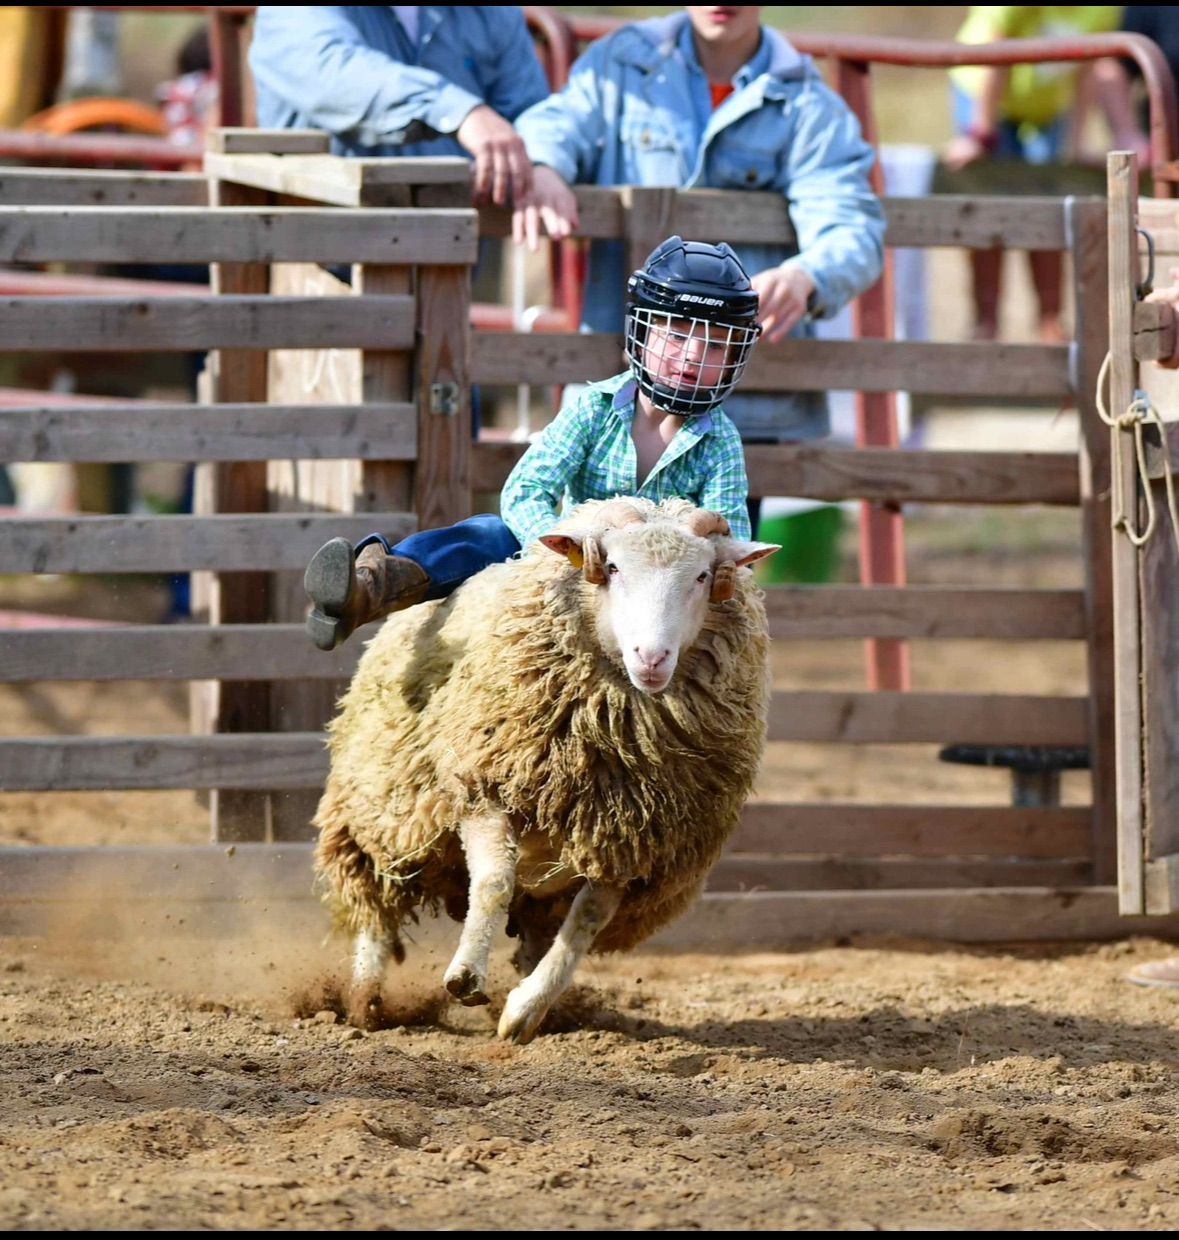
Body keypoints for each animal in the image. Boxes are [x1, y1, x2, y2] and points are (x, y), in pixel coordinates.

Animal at [308, 498, 778, 1041]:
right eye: (611, 567)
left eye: (703, 575)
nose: (652, 658)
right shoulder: (483, 787)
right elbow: (493, 882)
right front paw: (465, 975)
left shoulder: (628, 838)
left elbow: (585, 923)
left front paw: (524, 1011)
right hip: (376, 815)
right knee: (377, 907)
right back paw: (365, 1002)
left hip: (540, 887)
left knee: (538, 928)